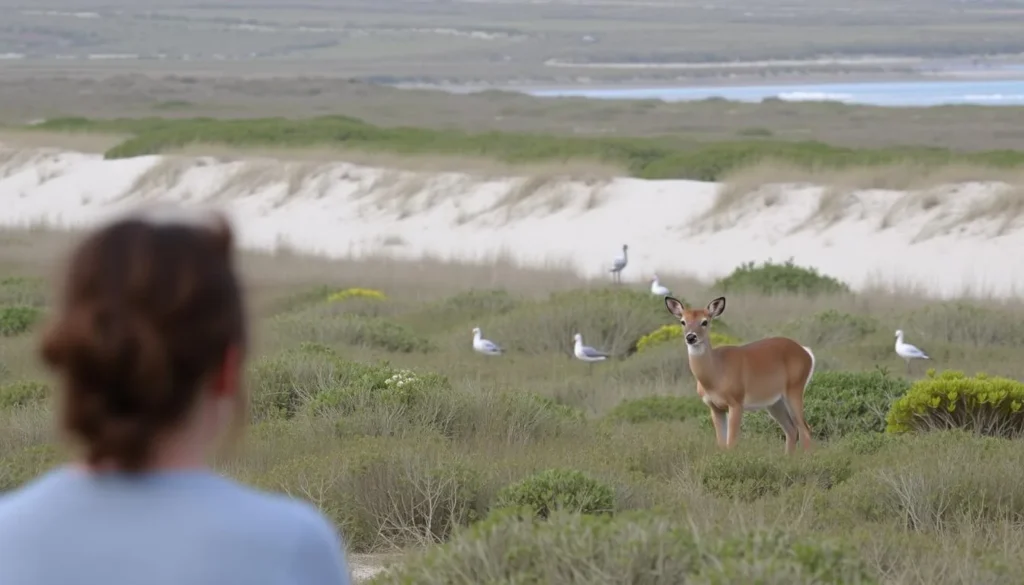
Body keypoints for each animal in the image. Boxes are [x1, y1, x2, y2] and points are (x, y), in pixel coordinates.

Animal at [664, 295, 816, 454]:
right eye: (683, 321)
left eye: (705, 321)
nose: (691, 337)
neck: (716, 373)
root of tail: (806, 352)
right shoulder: (715, 407)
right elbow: (721, 444)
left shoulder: (736, 402)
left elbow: (731, 442)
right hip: (775, 402)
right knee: (792, 429)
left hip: (795, 389)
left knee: (805, 429)